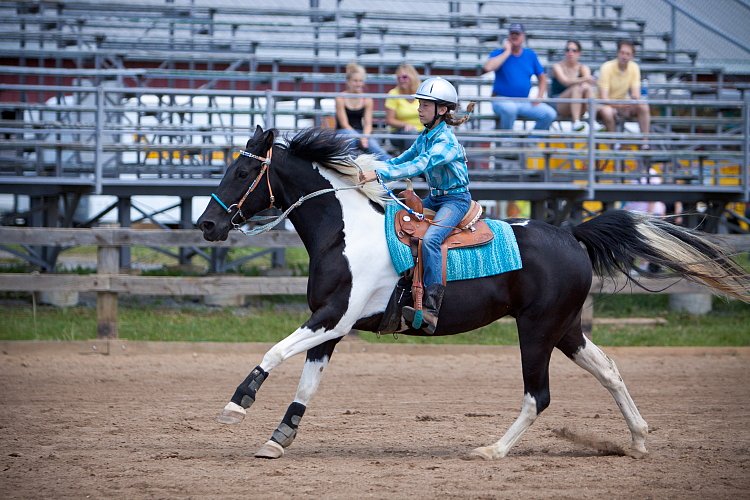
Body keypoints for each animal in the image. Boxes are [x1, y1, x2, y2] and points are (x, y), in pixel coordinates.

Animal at [197, 126, 748, 460]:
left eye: (242, 172)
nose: (207, 224)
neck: (345, 230)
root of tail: (572, 234)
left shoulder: (334, 317)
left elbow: (275, 351)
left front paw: (237, 403)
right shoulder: (332, 326)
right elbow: (307, 384)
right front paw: (278, 439)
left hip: (536, 331)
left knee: (537, 395)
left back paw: (492, 451)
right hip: (566, 329)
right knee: (609, 371)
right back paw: (636, 440)